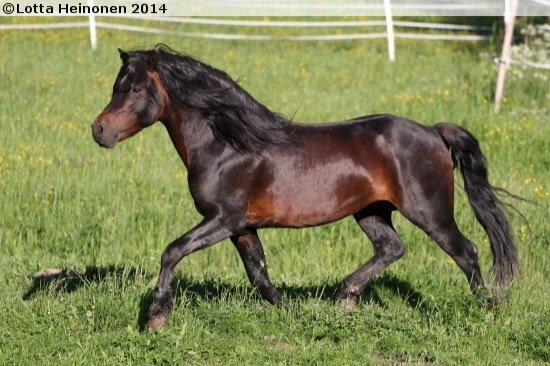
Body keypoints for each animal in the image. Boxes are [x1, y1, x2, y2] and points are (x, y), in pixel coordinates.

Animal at [91, 44, 520, 330]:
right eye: (116, 85)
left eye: (134, 89)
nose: (99, 130)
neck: (226, 144)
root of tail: (433, 132)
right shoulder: (243, 227)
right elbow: (259, 274)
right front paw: (290, 312)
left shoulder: (223, 220)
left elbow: (172, 252)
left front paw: (155, 317)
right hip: (370, 212)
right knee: (391, 248)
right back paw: (344, 298)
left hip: (430, 212)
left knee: (467, 251)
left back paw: (489, 310)